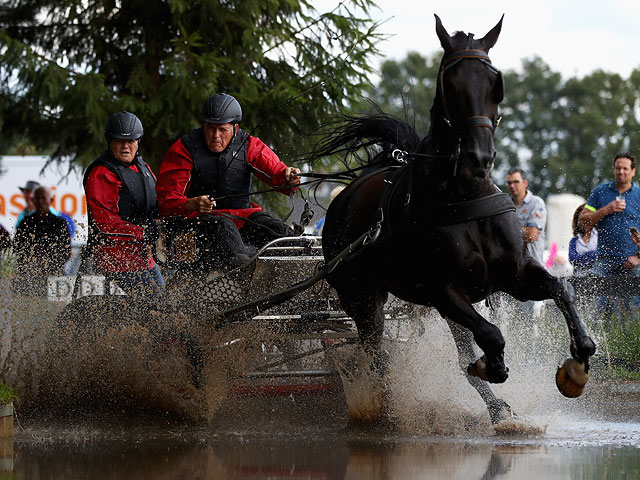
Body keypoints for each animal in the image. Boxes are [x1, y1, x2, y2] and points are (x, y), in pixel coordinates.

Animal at [312, 15, 596, 420]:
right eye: (451, 83)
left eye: (495, 83)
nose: (481, 156)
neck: (464, 197)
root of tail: (344, 201)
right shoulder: (441, 289)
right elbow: (491, 336)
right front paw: (492, 366)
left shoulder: (515, 274)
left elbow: (562, 289)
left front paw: (578, 362)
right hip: (361, 296)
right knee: (376, 353)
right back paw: (385, 409)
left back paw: (497, 409)